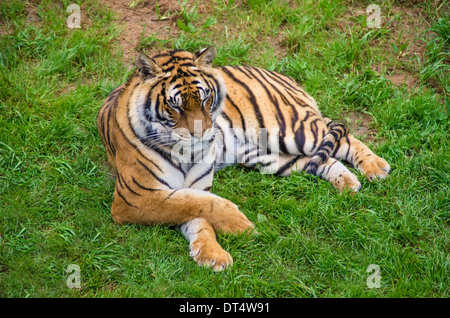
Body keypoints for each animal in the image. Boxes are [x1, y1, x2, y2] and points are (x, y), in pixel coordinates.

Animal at [97, 47, 390, 270]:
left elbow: (200, 207)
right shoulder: (136, 197)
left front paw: (232, 235)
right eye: (175, 106)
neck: (183, 151)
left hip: (291, 130)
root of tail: (281, 75)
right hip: (273, 159)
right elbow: (195, 209)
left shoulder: (157, 194)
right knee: (324, 160)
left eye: (205, 99)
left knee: (343, 135)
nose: (202, 134)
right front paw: (216, 250)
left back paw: (375, 167)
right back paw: (349, 184)